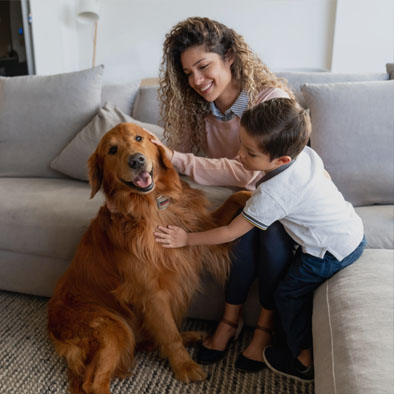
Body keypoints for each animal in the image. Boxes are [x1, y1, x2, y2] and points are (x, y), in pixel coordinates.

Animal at [47, 121, 249, 392]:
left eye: (139, 138)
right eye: (112, 150)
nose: (136, 160)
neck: (153, 205)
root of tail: (52, 322)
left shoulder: (202, 227)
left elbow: (235, 200)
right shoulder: (150, 292)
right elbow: (168, 333)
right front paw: (184, 366)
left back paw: (192, 335)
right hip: (113, 327)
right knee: (94, 382)